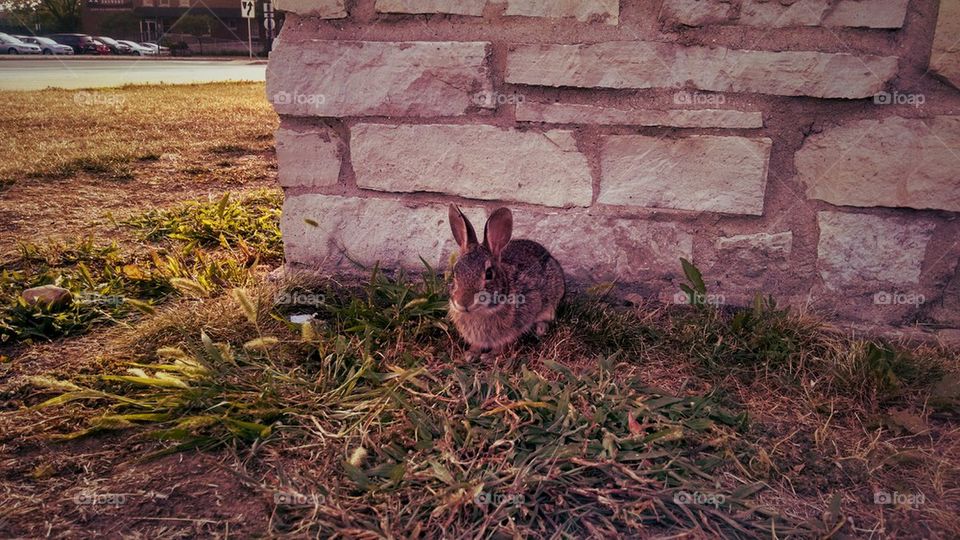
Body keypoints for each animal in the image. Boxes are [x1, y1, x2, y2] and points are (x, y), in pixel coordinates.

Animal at [447, 205, 565, 361]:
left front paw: (490, 357)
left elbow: (503, 343)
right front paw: (470, 354)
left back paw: (540, 329)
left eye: (489, 274)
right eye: (455, 271)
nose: (463, 302)